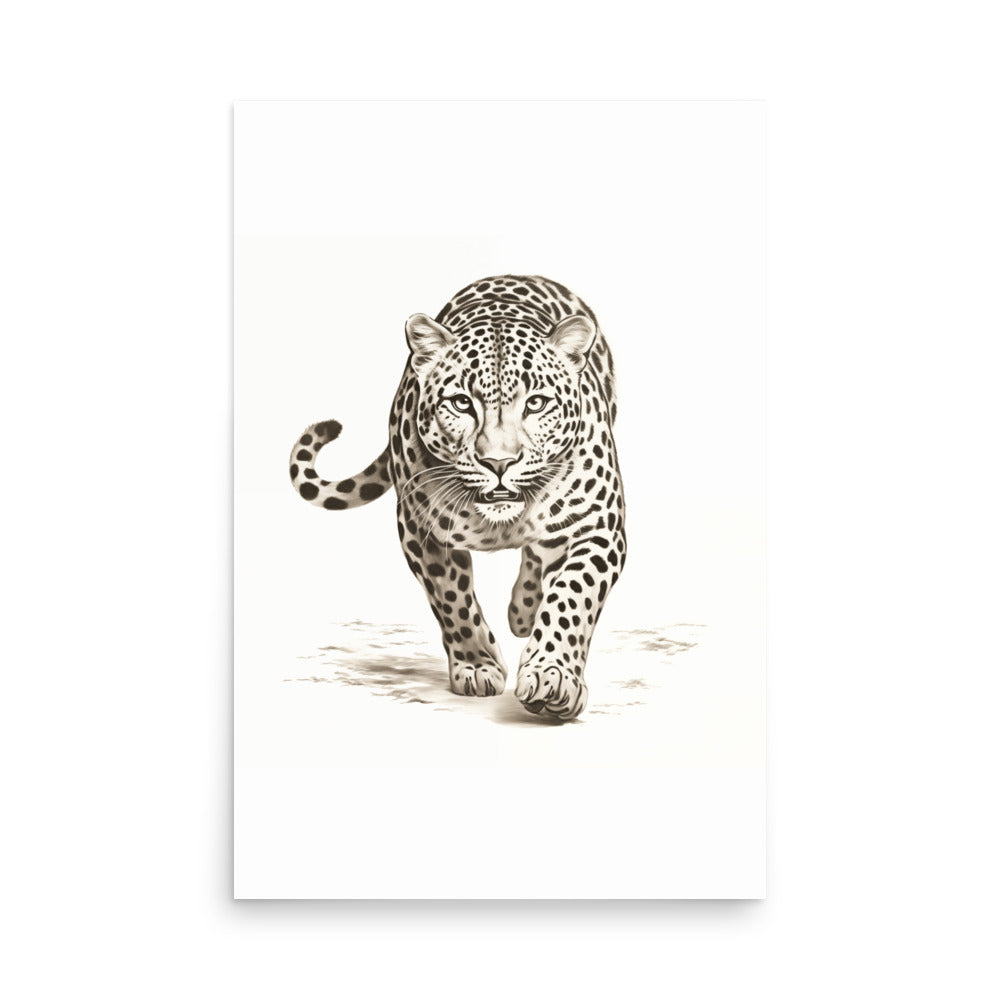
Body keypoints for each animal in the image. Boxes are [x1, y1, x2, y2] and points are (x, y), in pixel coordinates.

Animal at [289, 275, 626, 721]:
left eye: (536, 403)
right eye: (461, 403)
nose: (499, 462)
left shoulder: (597, 526)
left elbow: (572, 597)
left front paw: (552, 677)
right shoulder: (421, 531)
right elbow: (452, 600)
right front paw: (479, 667)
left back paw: (524, 612)